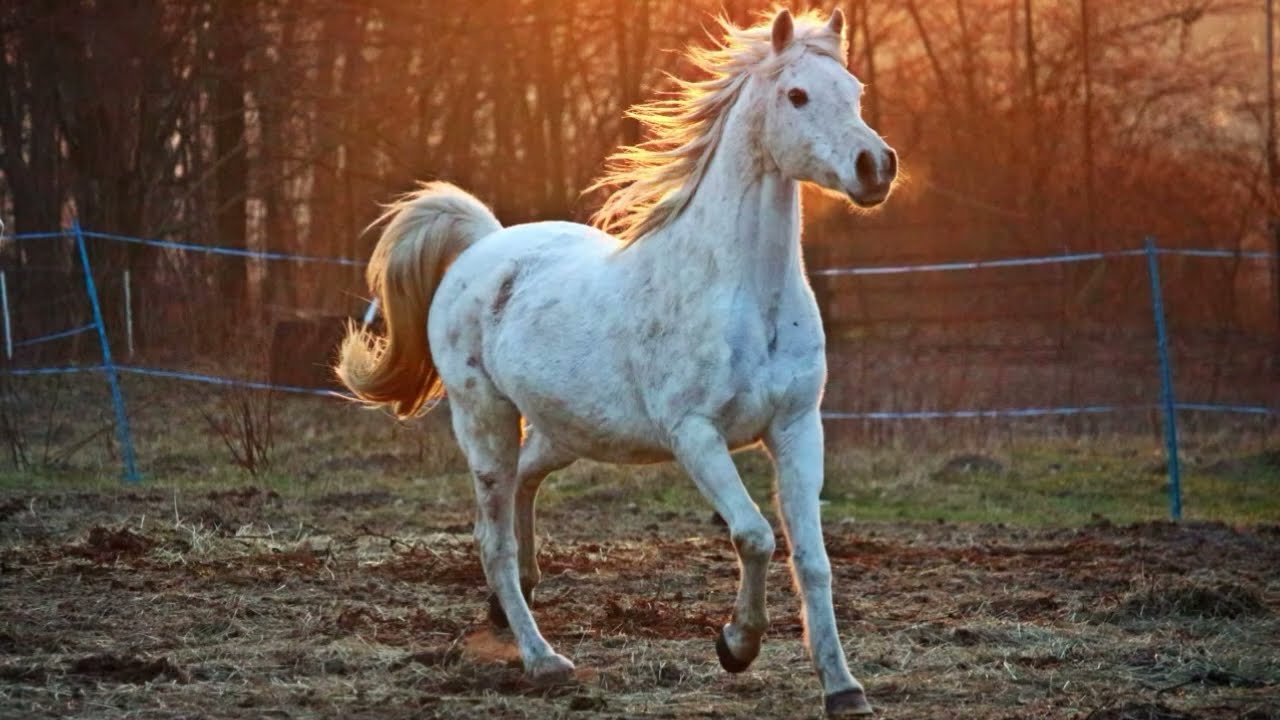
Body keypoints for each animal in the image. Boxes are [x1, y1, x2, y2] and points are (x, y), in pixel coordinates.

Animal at [336, 9, 897, 717]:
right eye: (796, 95)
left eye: (854, 91)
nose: (875, 167)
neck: (745, 294)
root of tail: (483, 246)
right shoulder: (696, 436)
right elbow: (755, 535)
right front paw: (736, 645)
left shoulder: (797, 427)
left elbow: (813, 560)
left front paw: (844, 688)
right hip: (485, 421)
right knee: (493, 538)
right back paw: (543, 659)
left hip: (566, 430)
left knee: (523, 488)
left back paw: (509, 605)